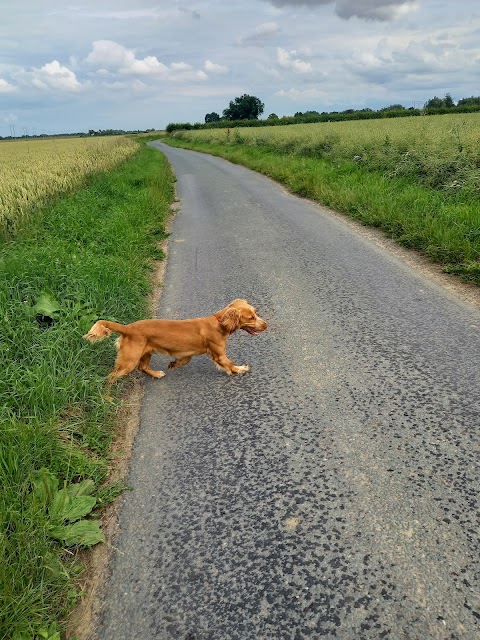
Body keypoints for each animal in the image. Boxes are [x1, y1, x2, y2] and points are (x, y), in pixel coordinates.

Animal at [84, 298, 268, 398]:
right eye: (251, 317)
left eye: (256, 313)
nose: (266, 325)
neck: (219, 322)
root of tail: (128, 328)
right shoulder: (219, 354)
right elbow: (229, 363)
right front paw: (240, 369)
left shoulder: (188, 352)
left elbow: (185, 359)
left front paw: (173, 364)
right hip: (129, 361)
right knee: (110, 377)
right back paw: (107, 398)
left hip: (146, 352)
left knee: (143, 367)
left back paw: (156, 374)